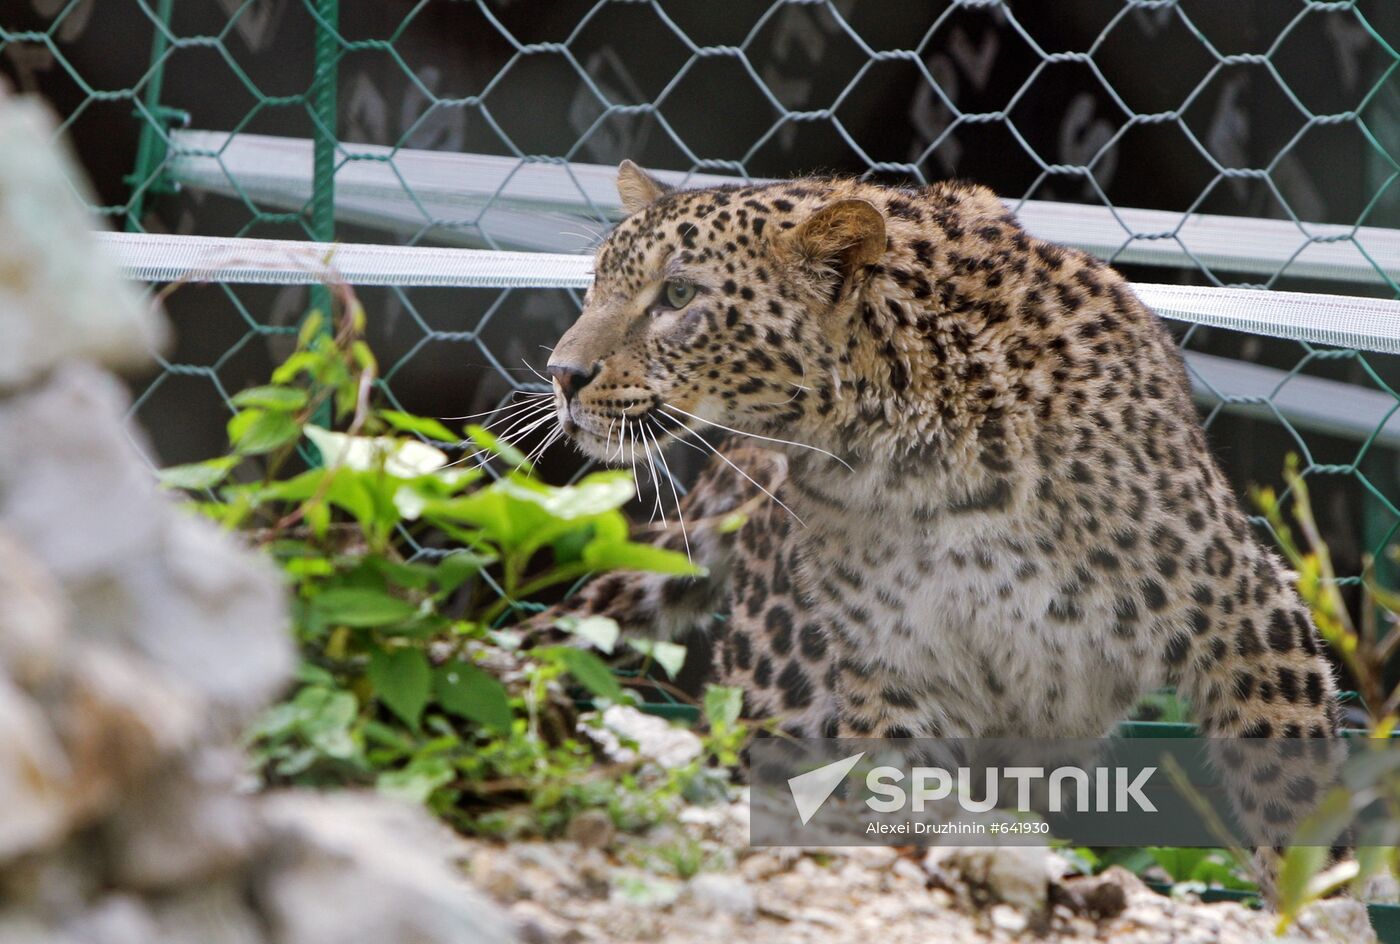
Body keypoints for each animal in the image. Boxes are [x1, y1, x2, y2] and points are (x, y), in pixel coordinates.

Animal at [532, 160, 1344, 860]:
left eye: (676, 297)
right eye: (596, 286)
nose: (561, 375)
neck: (906, 459)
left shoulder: (1246, 613)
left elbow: (1295, 802)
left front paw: (1314, 905)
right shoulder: (900, 673)